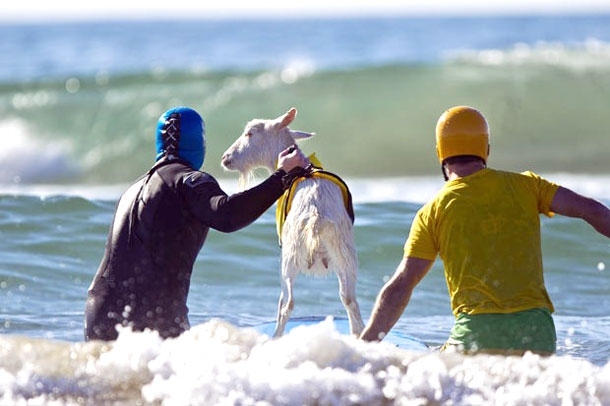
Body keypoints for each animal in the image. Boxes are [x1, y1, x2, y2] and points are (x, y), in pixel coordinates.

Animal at [221, 107, 364, 336]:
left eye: (250, 133)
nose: (225, 158)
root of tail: (316, 217)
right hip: (345, 255)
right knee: (349, 299)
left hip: (289, 256)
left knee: (287, 302)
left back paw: (275, 337)